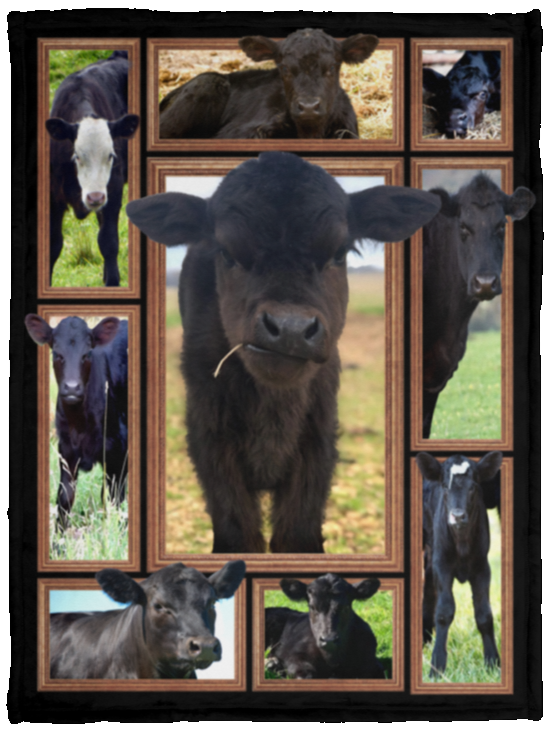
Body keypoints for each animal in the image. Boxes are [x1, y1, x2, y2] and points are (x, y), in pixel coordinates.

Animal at [24, 314, 128, 529]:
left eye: (87, 354)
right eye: (57, 353)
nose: (72, 388)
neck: (80, 424)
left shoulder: (118, 451)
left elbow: (114, 499)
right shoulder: (66, 450)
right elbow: (65, 498)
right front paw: (59, 536)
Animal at [47, 50, 140, 286]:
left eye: (111, 156)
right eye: (77, 156)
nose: (95, 197)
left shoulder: (113, 188)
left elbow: (108, 241)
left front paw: (113, 282)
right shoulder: (52, 197)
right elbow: (53, 245)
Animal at [416, 452, 502, 677]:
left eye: (473, 487)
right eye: (445, 487)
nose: (457, 516)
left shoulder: (482, 567)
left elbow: (484, 614)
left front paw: (493, 663)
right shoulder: (442, 565)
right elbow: (444, 612)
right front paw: (436, 667)